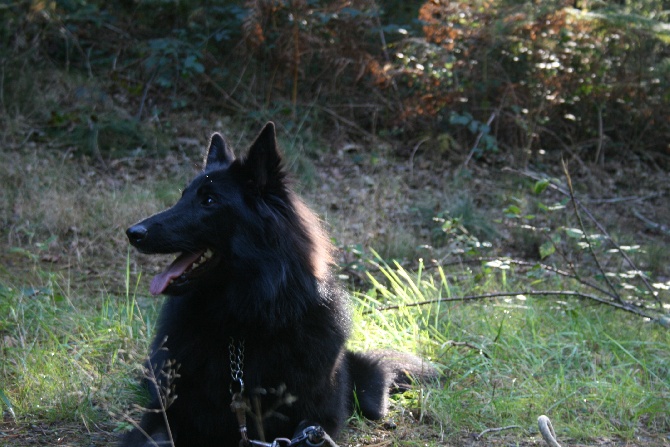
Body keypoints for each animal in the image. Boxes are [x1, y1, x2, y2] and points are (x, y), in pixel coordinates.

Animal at [122, 123, 434, 447]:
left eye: (208, 200)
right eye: (182, 196)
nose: (133, 233)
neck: (241, 327)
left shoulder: (318, 421)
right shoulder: (166, 413)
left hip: (371, 400)